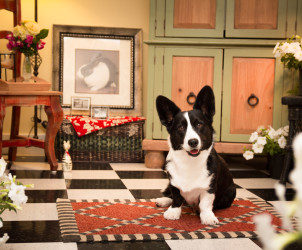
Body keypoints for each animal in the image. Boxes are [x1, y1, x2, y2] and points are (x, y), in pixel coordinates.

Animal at [156, 86, 236, 225]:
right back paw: (163, 200)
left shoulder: (209, 188)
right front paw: (173, 212)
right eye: (181, 127)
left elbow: (205, 204)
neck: (190, 162)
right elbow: (176, 198)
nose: (193, 142)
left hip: (231, 192)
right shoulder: (174, 184)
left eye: (199, 124)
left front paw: (207, 216)